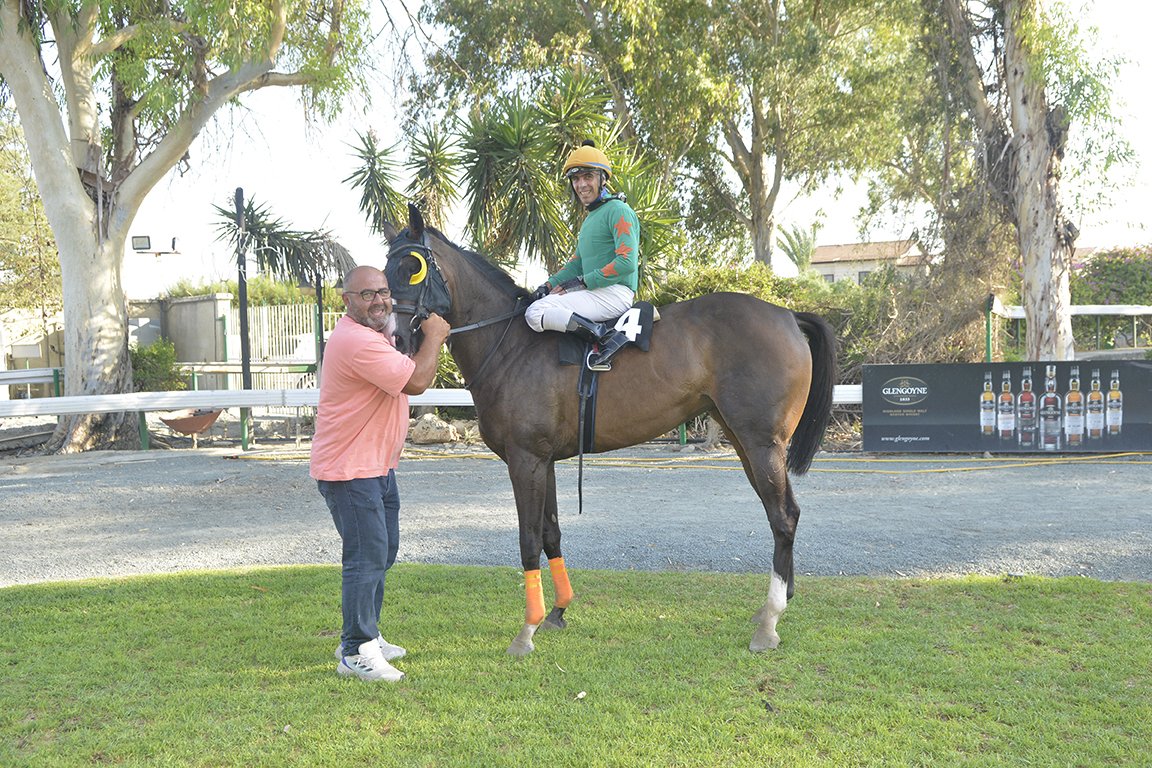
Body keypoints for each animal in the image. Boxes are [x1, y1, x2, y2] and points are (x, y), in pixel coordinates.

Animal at [382, 204, 836, 657]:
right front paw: (558, 611)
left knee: (783, 516)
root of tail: (787, 315)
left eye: (412, 267)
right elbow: (551, 533)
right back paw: (772, 609)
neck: (511, 345)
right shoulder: (543, 460)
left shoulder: (525, 459)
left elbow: (528, 539)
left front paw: (526, 631)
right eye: (385, 270)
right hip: (745, 442)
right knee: (781, 514)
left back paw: (770, 622)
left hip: (762, 443)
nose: (395, 339)